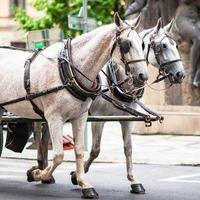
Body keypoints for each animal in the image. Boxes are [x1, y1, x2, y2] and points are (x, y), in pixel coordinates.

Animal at [0, 14, 148, 198]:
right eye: (126, 44)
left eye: (142, 43)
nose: (143, 76)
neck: (69, 69)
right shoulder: (54, 118)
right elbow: (58, 155)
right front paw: (37, 174)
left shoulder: (80, 117)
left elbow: (79, 150)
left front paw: (84, 183)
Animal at [77, 18, 185, 194]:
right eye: (163, 46)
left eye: (175, 45)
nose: (180, 74)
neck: (117, 82)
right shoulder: (98, 119)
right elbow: (95, 150)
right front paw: (77, 175)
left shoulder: (127, 120)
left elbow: (128, 148)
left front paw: (134, 181)